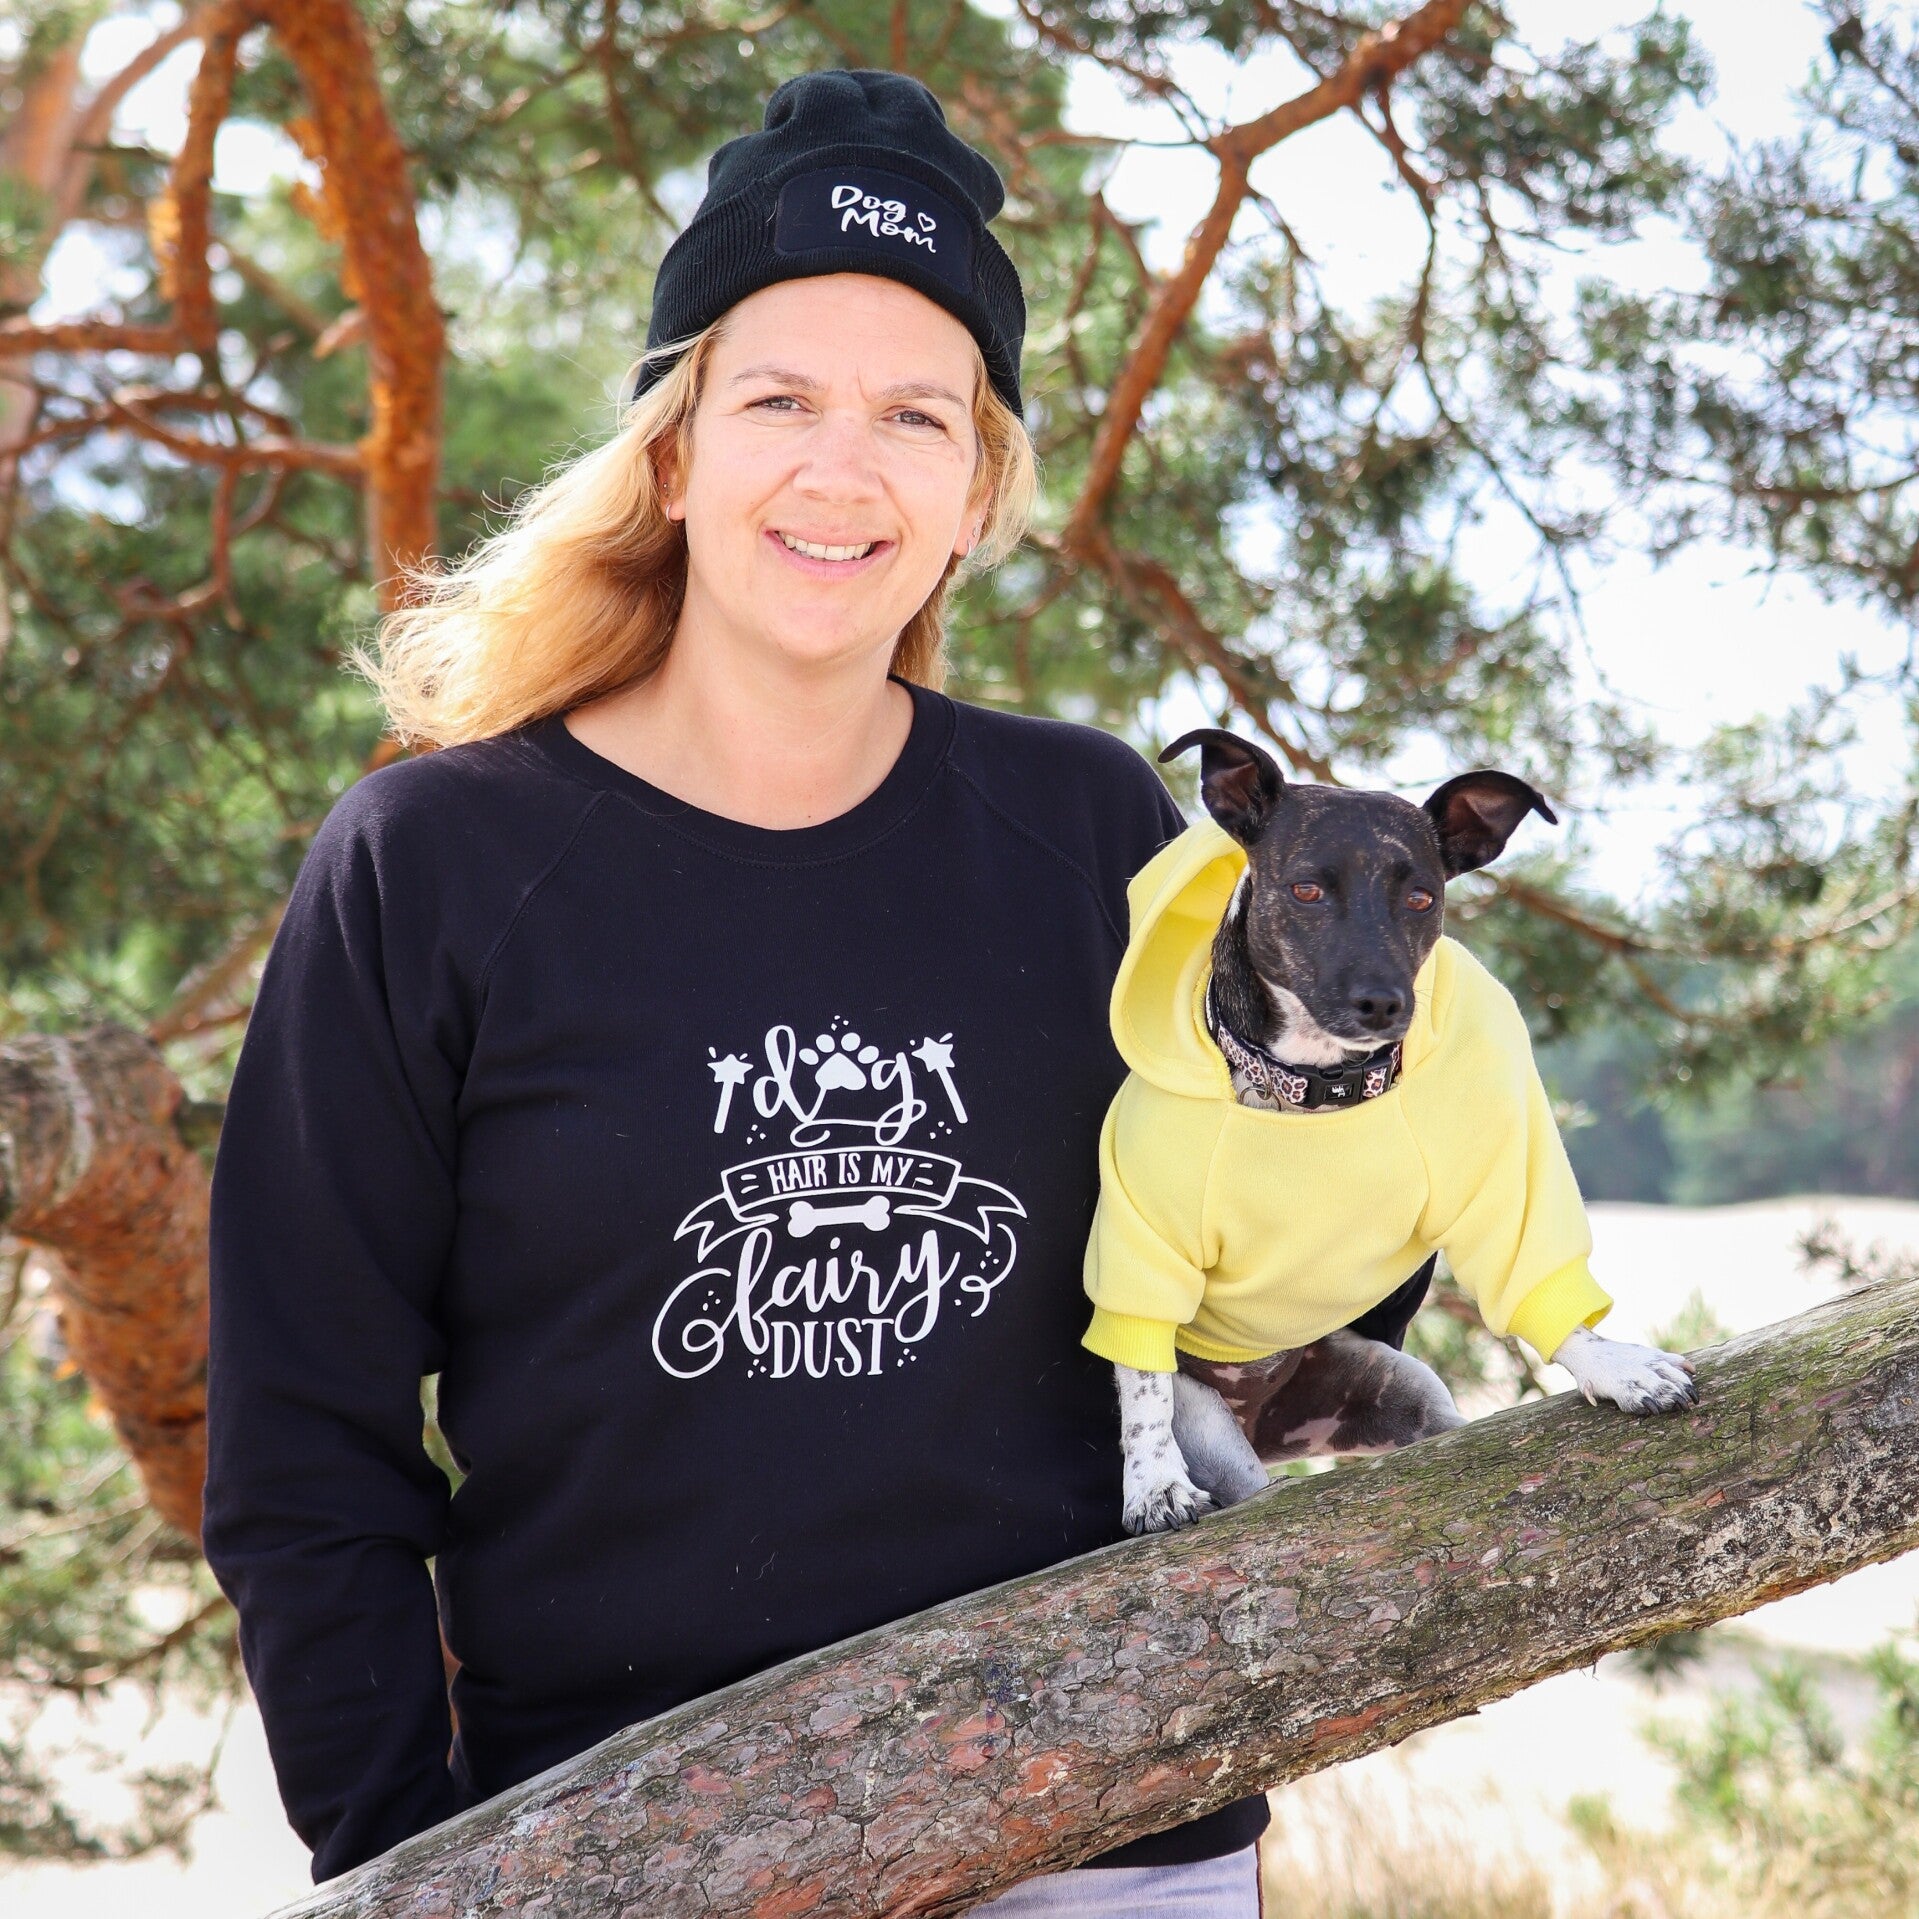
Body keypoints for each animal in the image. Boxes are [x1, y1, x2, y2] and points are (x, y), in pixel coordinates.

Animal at [1083, 729, 1698, 1536]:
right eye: (1306, 891)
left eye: (1421, 898)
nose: (1382, 1002)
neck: (1313, 1091)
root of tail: (1266, 1424)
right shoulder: (1142, 1246)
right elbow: (1142, 1381)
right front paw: (1153, 1483)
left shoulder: (1498, 1190)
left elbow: (1537, 1281)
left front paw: (1614, 1366)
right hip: (1221, 1438)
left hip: (1401, 1386)